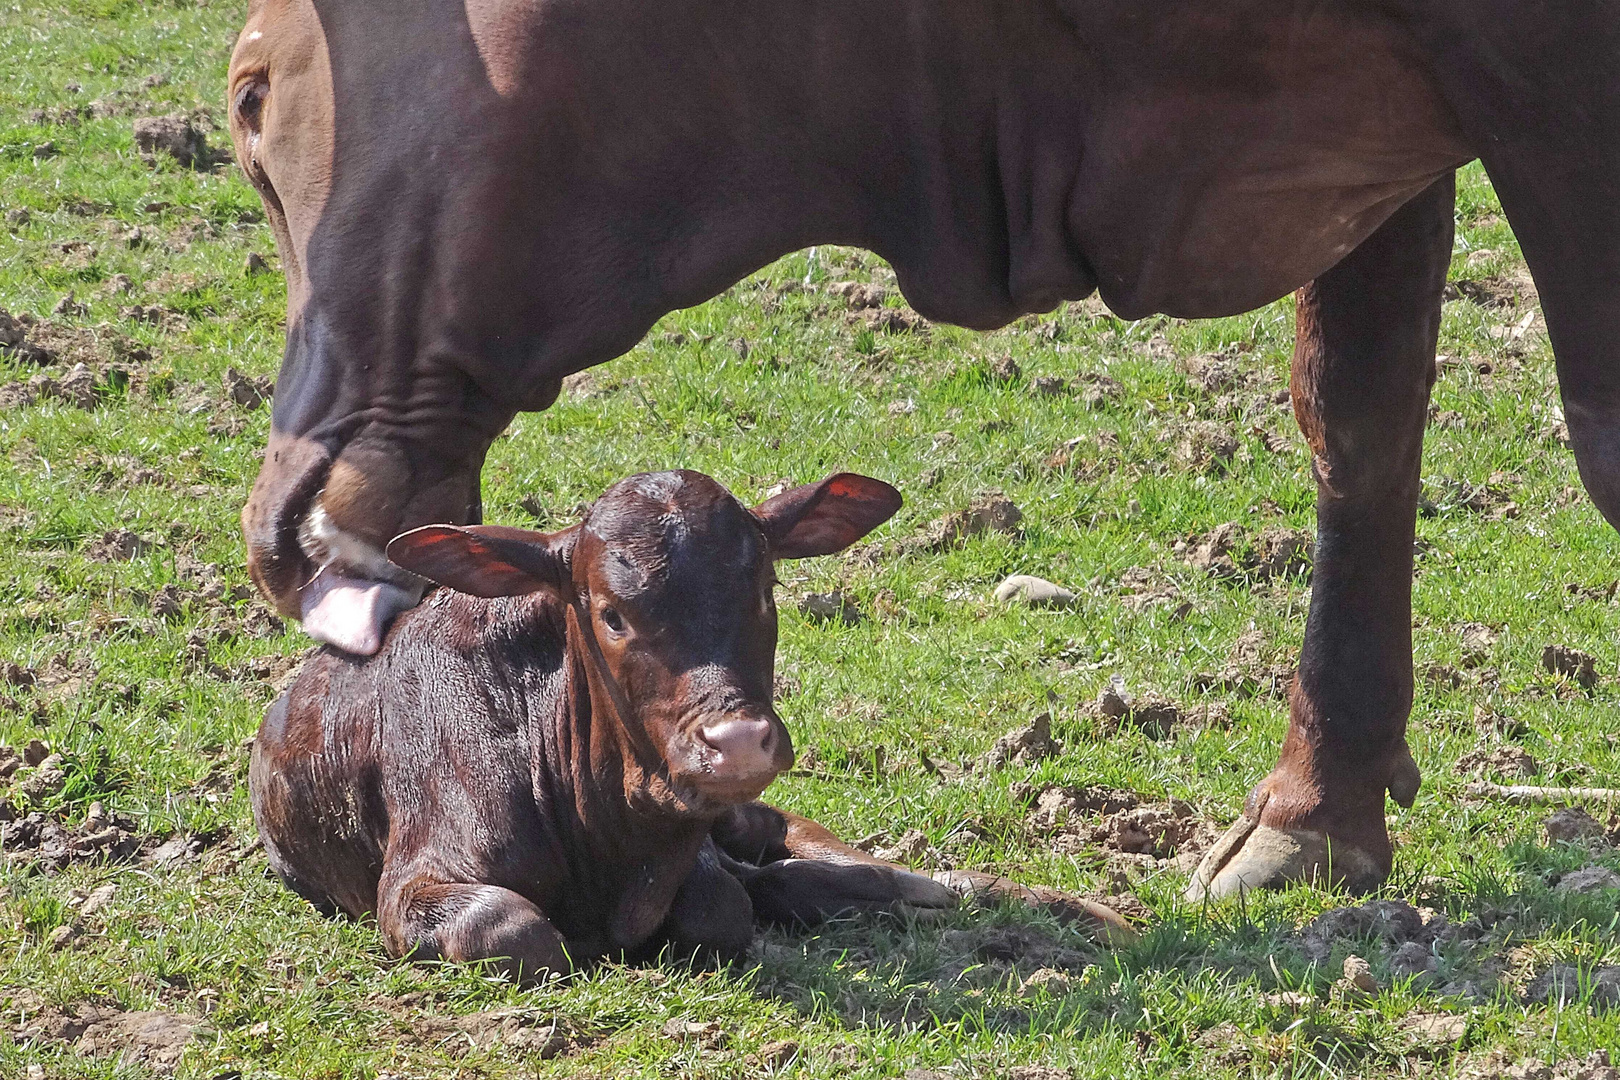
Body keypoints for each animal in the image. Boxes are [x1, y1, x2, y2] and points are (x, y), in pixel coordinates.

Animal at [252, 472, 1121, 977]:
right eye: (610, 613)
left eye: (765, 586)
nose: (735, 743)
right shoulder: (417, 879)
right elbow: (515, 929)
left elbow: (724, 905)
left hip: (752, 814)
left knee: (856, 868)